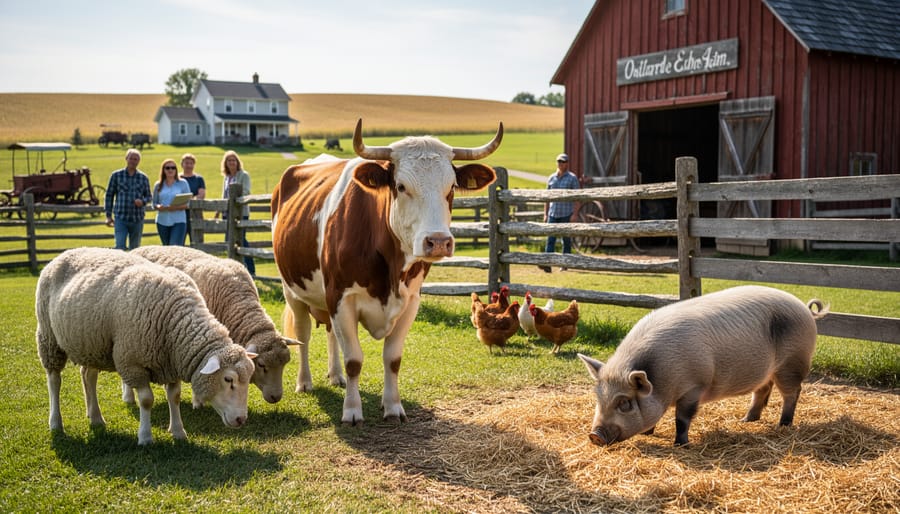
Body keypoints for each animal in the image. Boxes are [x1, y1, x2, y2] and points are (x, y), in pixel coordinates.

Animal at [36, 247, 257, 445]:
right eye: (228, 379)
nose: (241, 419)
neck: (175, 322)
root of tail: (64, 253)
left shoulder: (171, 361)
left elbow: (174, 396)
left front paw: (178, 432)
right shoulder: (132, 363)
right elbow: (146, 400)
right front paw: (145, 437)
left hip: (91, 344)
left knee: (88, 376)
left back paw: (96, 418)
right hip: (49, 337)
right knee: (54, 380)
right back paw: (56, 423)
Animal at [129, 245, 301, 403]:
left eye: (285, 364)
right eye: (261, 365)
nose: (276, 397)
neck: (236, 302)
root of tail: (138, 248)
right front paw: (197, 401)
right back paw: (129, 397)